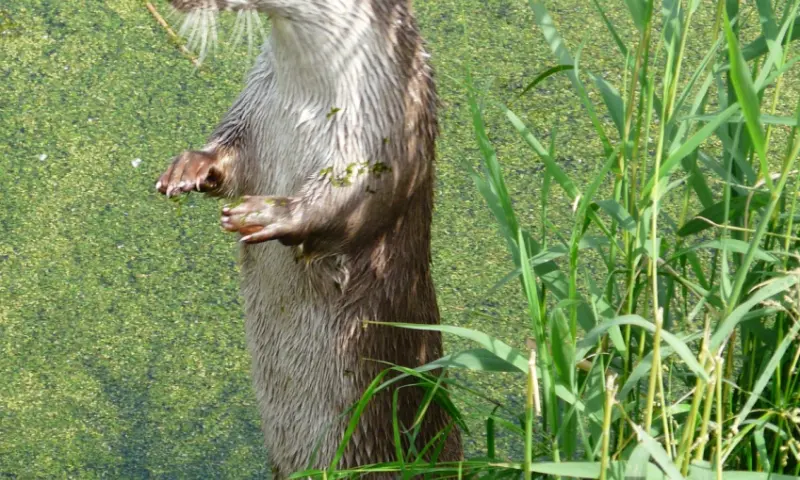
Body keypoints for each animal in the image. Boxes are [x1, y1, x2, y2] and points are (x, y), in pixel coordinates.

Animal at [154, 0, 462, 477]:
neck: (306, 101)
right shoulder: (252, 108)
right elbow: (228, 157)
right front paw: (189, 166)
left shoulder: (381, 142)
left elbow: (343, 209)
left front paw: (266, 213)